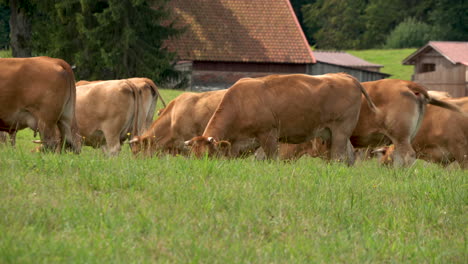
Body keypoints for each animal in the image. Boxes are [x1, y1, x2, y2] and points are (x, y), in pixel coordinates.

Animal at [183, 72, 376, 165]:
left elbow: (271, 159)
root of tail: (345, 76)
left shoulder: (268, 134)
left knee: (338, 157)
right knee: (348, 158)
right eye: (193, 156)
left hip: (341, 131)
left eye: (208, 156)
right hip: (331, 133)